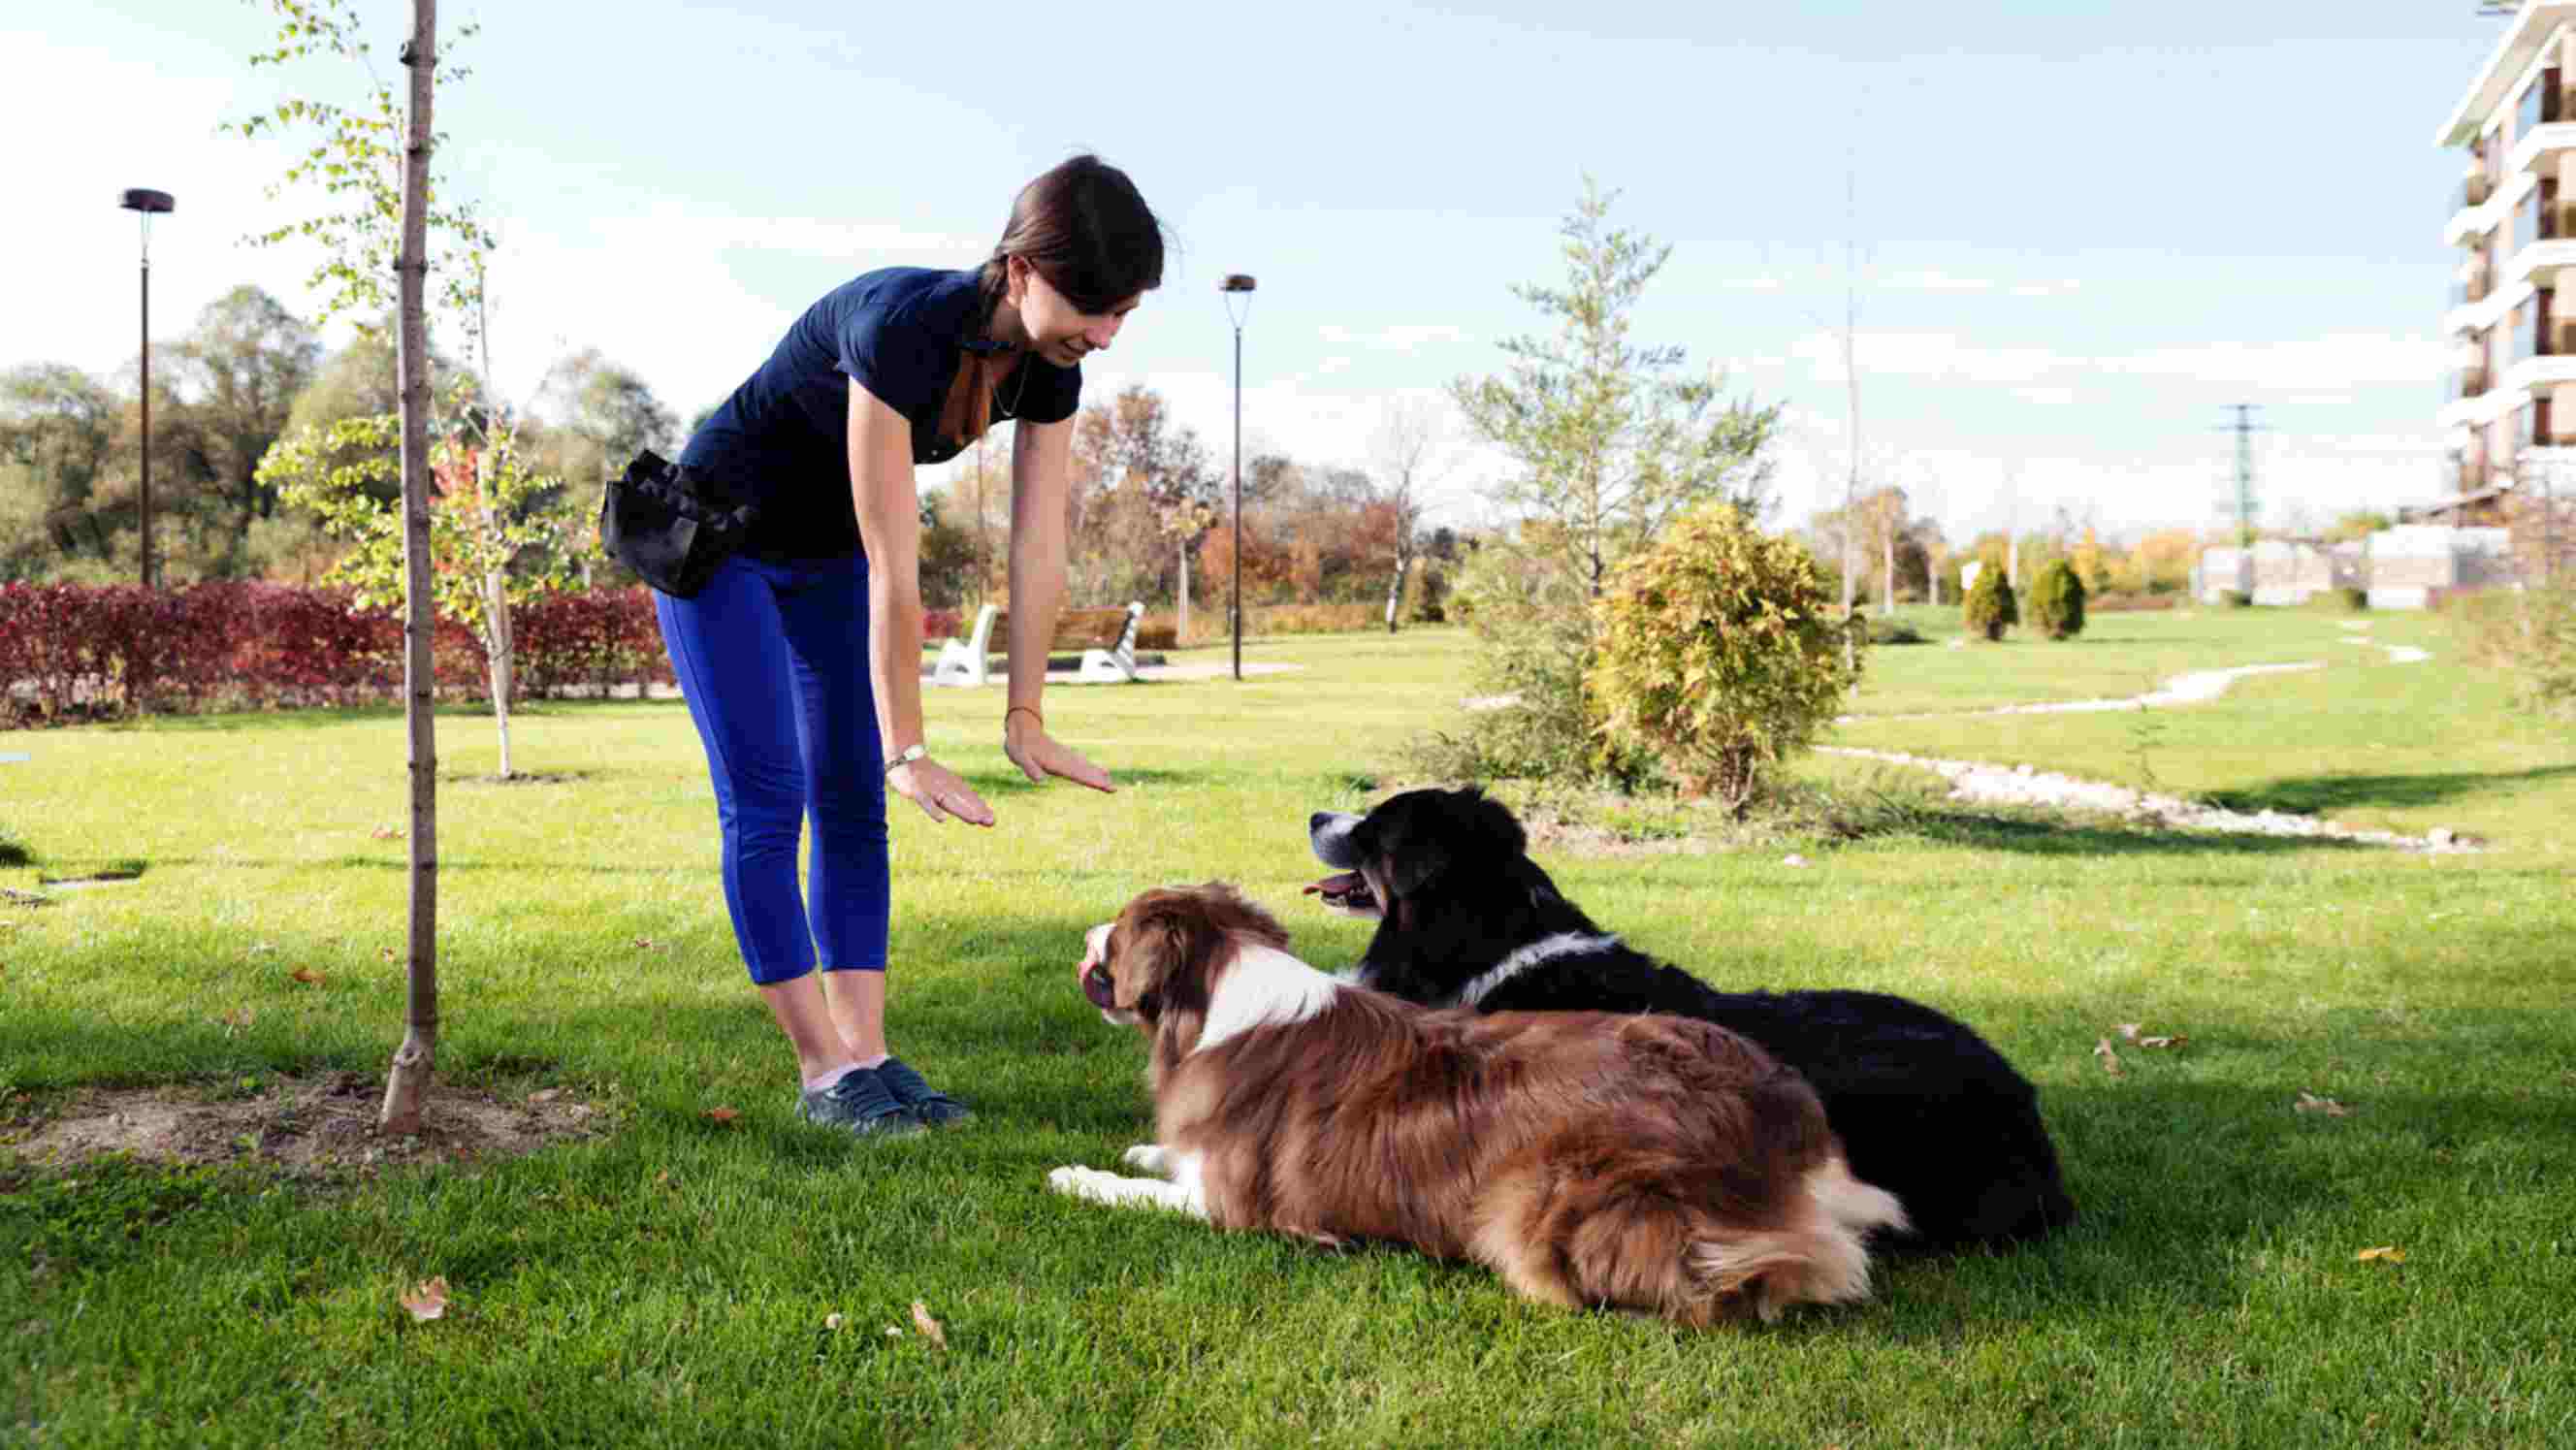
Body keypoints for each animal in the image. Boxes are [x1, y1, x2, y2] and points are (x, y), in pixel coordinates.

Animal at [1050, 886, 1916, 1329]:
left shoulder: (1230, 1204)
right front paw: (1144, 1148)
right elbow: (1162, 1157)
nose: (1085, 935)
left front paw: (1077, 1175)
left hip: (1541, 1200)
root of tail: (1789, 1124)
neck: (1218, 993)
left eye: (1116, 935)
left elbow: (1137, 1190)